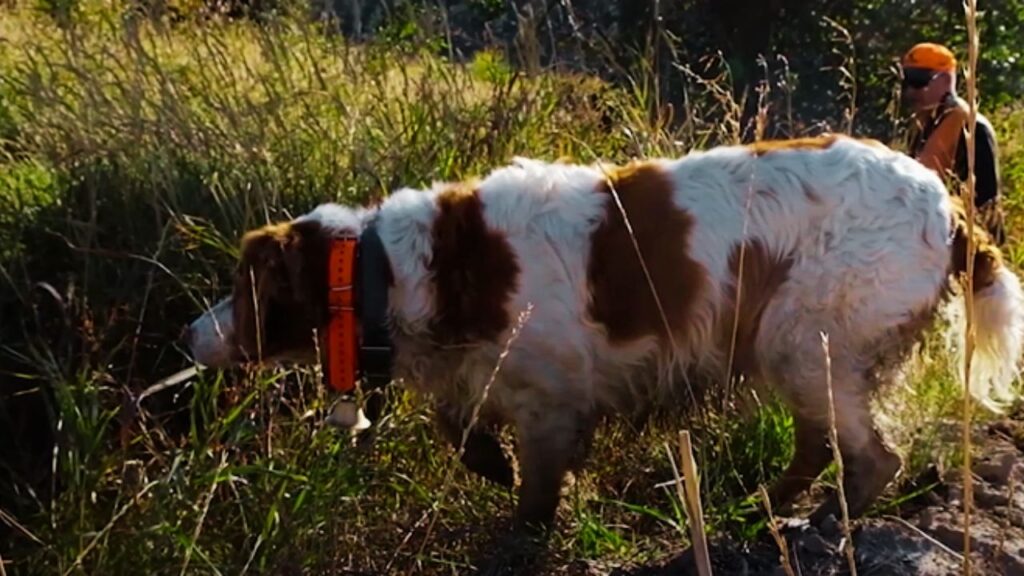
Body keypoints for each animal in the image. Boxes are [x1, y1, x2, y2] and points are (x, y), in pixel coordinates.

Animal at [184, 133, 1024, 532]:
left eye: (244, 291)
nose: (192, 335)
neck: (397, 268)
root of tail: (948, 209)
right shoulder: (488, 374)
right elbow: (460, 425)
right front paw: (485, 461)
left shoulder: (551, 399)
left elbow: (534, 488)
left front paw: (518, 519)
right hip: (795, 345)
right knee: (822, 445)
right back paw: (762, 503)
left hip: (804, 334)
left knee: (873, 455)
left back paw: (824, 518)